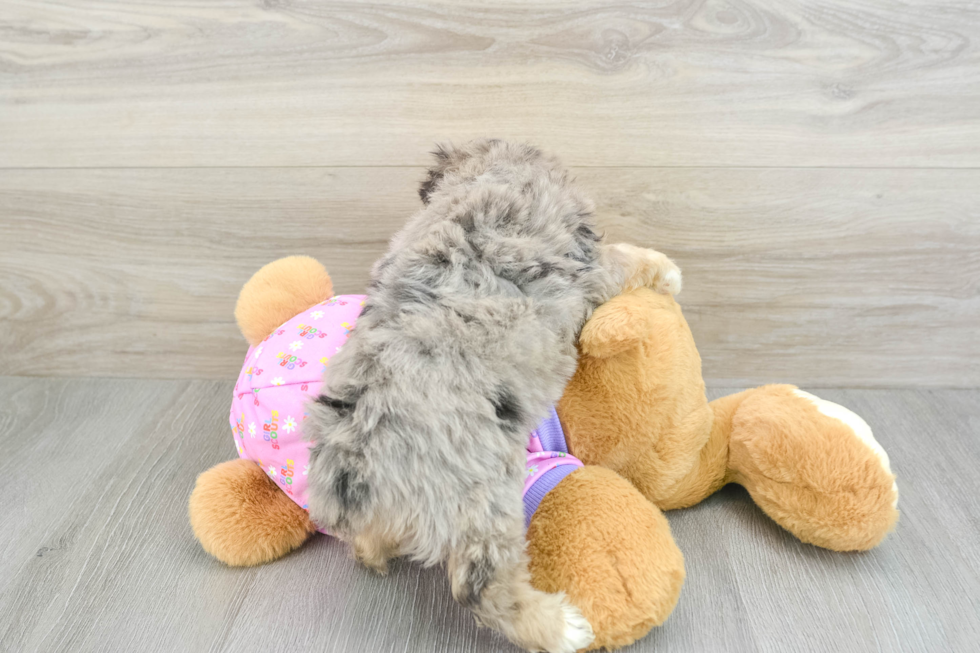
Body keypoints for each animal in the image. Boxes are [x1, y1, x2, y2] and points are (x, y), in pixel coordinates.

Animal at [308, 139, 680, 652]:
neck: (486, 182)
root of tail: (353, 465)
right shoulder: (589, 269)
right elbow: (624, 258)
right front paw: (666, 268)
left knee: (369, 544)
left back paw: (374, 553)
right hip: (485, 505)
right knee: (481, 588)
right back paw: (560, 626)